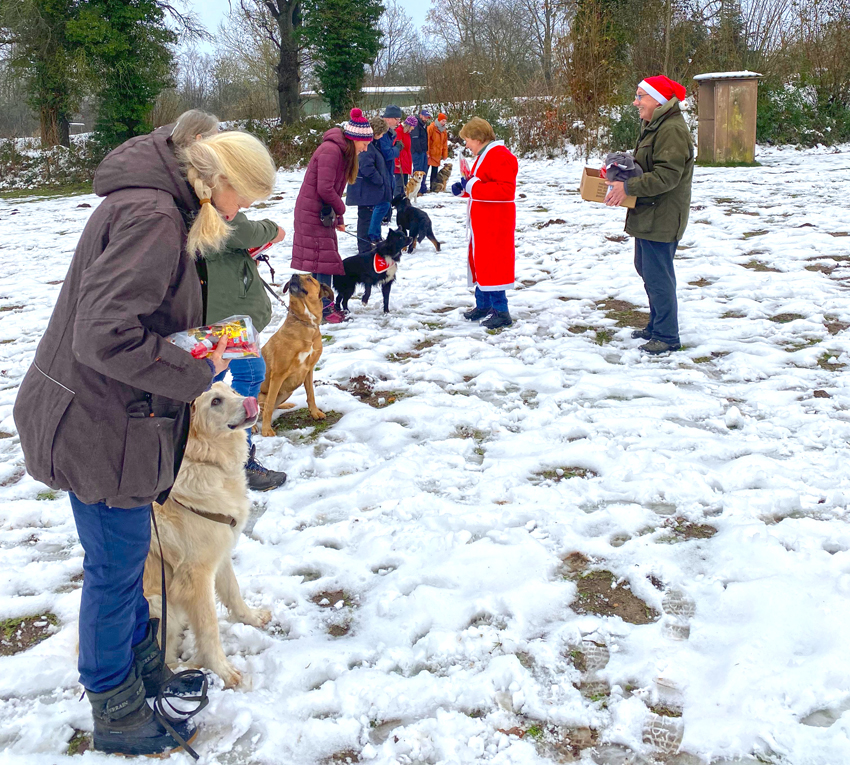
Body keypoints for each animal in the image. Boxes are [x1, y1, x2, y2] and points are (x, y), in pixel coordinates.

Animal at [255, 274, 332, 436]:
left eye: (309, 278)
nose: (293, 275)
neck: (305, 322)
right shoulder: (278, 375)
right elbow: (270, 405)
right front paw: (266, 430)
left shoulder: (309, 370)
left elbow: (311, 394)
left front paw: (315, 413)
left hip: (287, 392)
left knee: (266, 408)